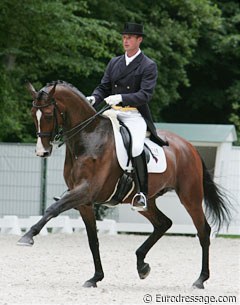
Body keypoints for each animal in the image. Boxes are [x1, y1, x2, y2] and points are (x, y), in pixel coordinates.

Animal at [17, 80, 232, 288]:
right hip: (146, 201)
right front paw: (96, 277)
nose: (42, 152)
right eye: (32, 114)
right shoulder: (84, 202)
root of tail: (189, 147)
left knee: (203, 231)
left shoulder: (86, 191)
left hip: (190, 197)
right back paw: (142, 265)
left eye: (47, 114)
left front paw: (28, 236)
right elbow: (93, 240)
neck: (88, 137)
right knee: (163, 223)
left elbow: (53, 208)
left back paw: (200, 279)